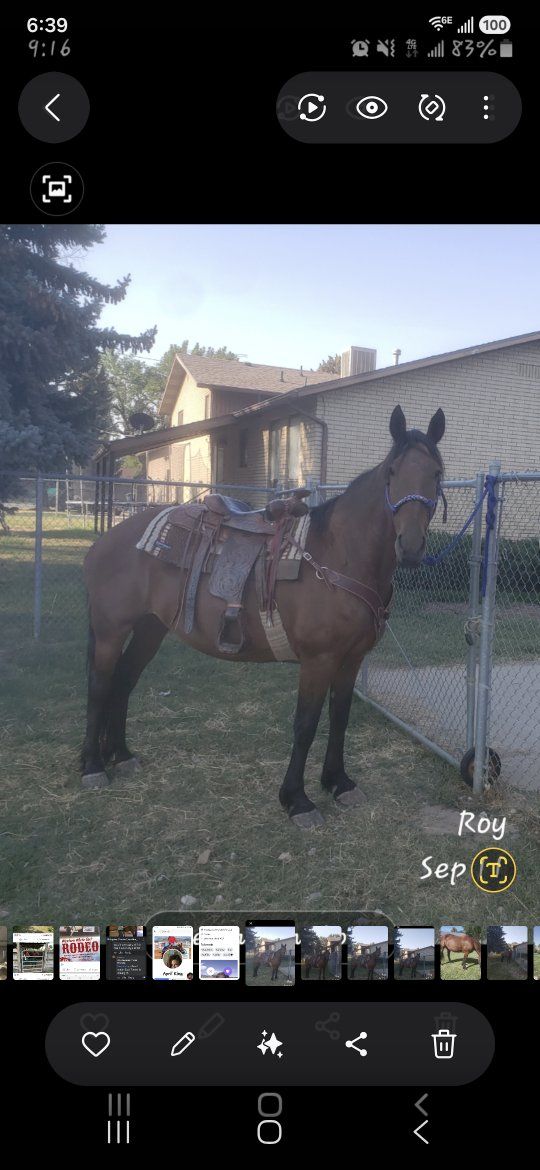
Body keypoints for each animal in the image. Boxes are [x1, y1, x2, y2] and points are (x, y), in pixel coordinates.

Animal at [81, 405, 446, 827]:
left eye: (437, 474)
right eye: (392, 472)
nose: (412, 546)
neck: (339, 555)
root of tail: (109, 540)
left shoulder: (351, 660)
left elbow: (340, 716)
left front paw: (338, 782)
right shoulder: (319, 661)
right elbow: (305, 725)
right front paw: (297, 800)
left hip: (150, 628)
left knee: (124, 680)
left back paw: (121, 755)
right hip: (111, 631)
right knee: (100, 685)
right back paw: (92, 765)